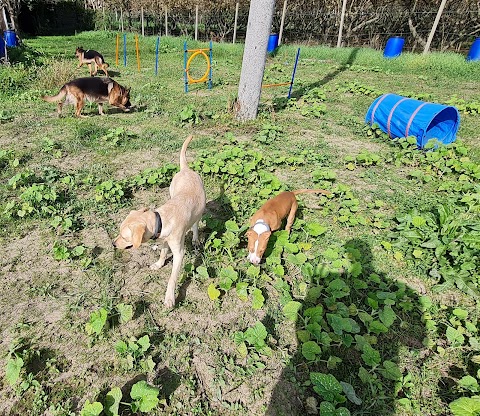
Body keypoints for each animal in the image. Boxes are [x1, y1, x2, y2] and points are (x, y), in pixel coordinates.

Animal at [115, 135, 208, 308]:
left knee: (195, 225)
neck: (162, 219)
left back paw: (195, 239)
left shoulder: (179, 253)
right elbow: (163, 253)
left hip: (200, 209)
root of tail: (186, 169)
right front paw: (159, 264)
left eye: (124, 237)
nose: (113, 244)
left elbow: (172, 278)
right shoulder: (164, 240)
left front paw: (170, 298)